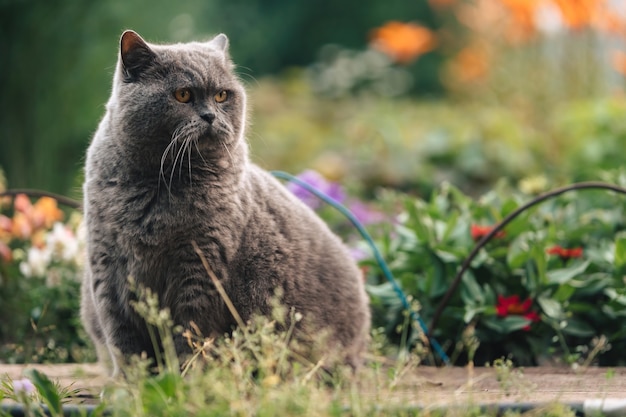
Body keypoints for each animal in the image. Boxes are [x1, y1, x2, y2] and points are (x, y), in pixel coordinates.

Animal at [80, 29, 368, 374]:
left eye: (221, 96)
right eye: (183, 95)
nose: (209, 116)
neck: (161, 182)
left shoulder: (201, 266)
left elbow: (189, 335)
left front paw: (186, 381)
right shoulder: (107, 267)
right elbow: (123, 341)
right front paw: (134, 382)